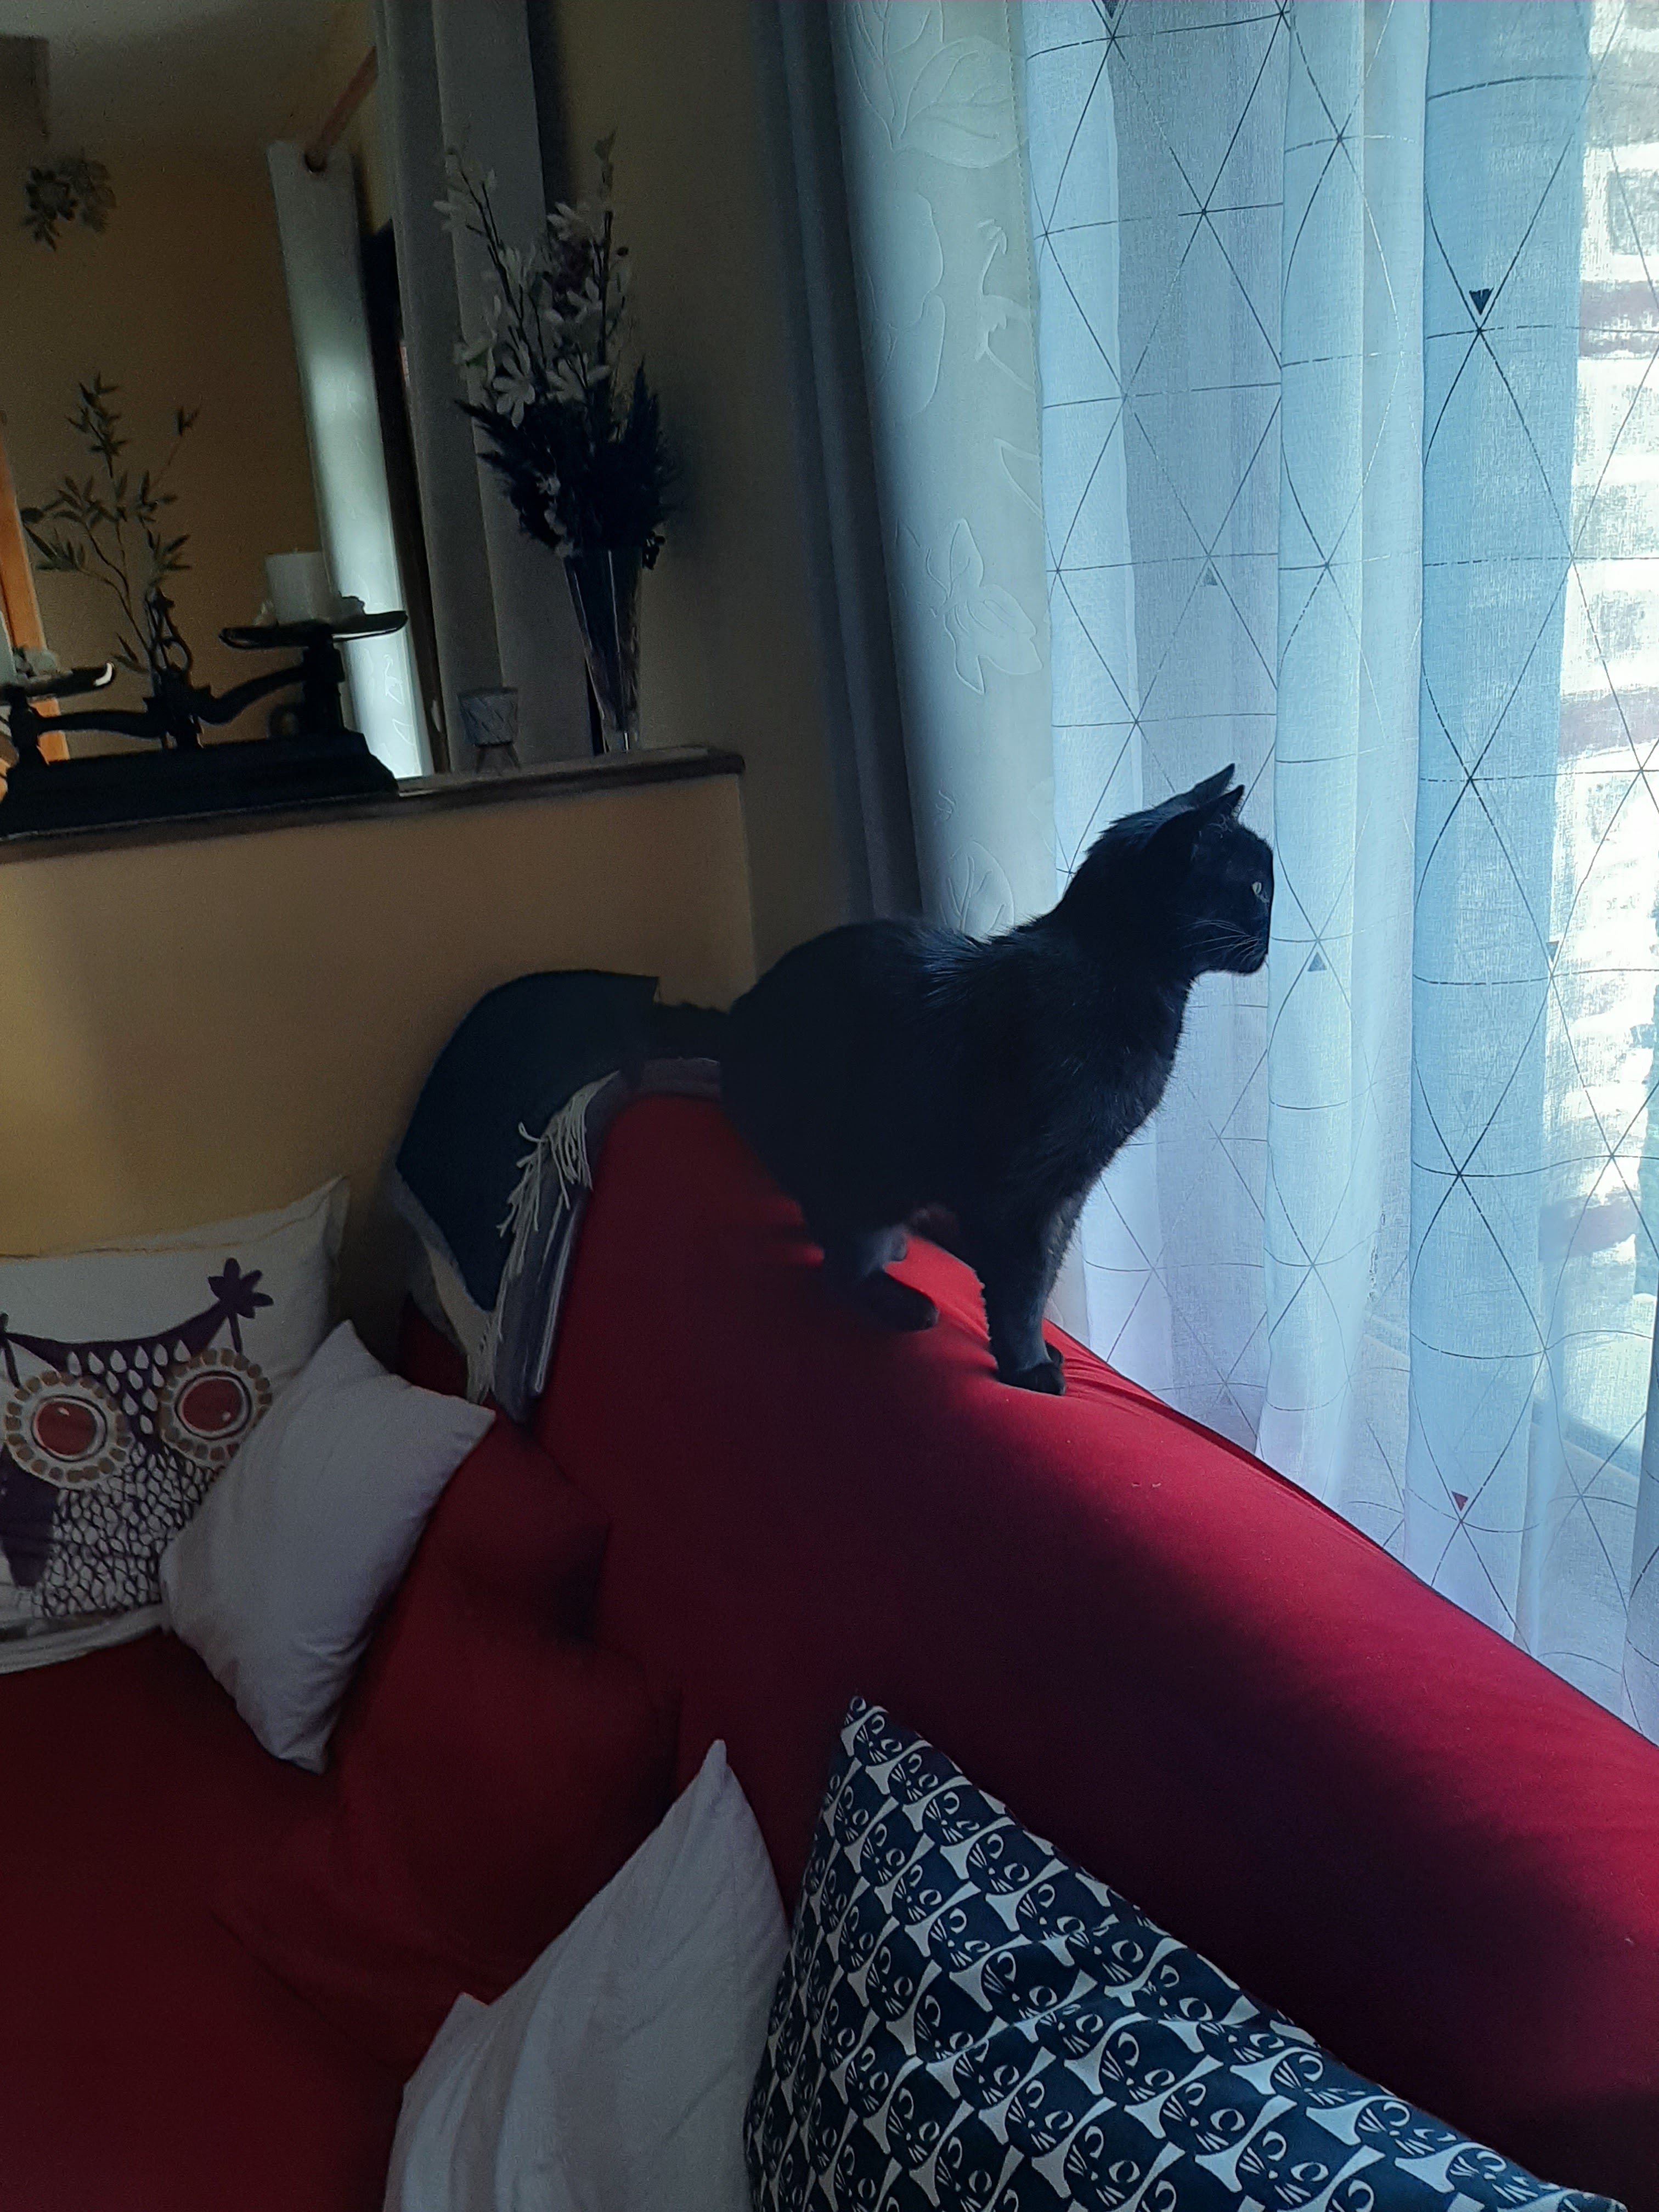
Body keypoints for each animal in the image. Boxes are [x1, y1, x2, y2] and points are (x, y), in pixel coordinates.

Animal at [718, 767, 1273, 1393]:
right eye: (1258, 888)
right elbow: (1022, 1284)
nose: (1277, 931)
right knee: (840, 1265)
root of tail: (735, 1017)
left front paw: (1035, 1355)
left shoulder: (1070, 1188)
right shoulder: (1021, 1189)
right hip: (852, 1160)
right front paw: (1028, 1366)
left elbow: (1046, 1270)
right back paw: (903, 1303)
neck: (1114, 970)